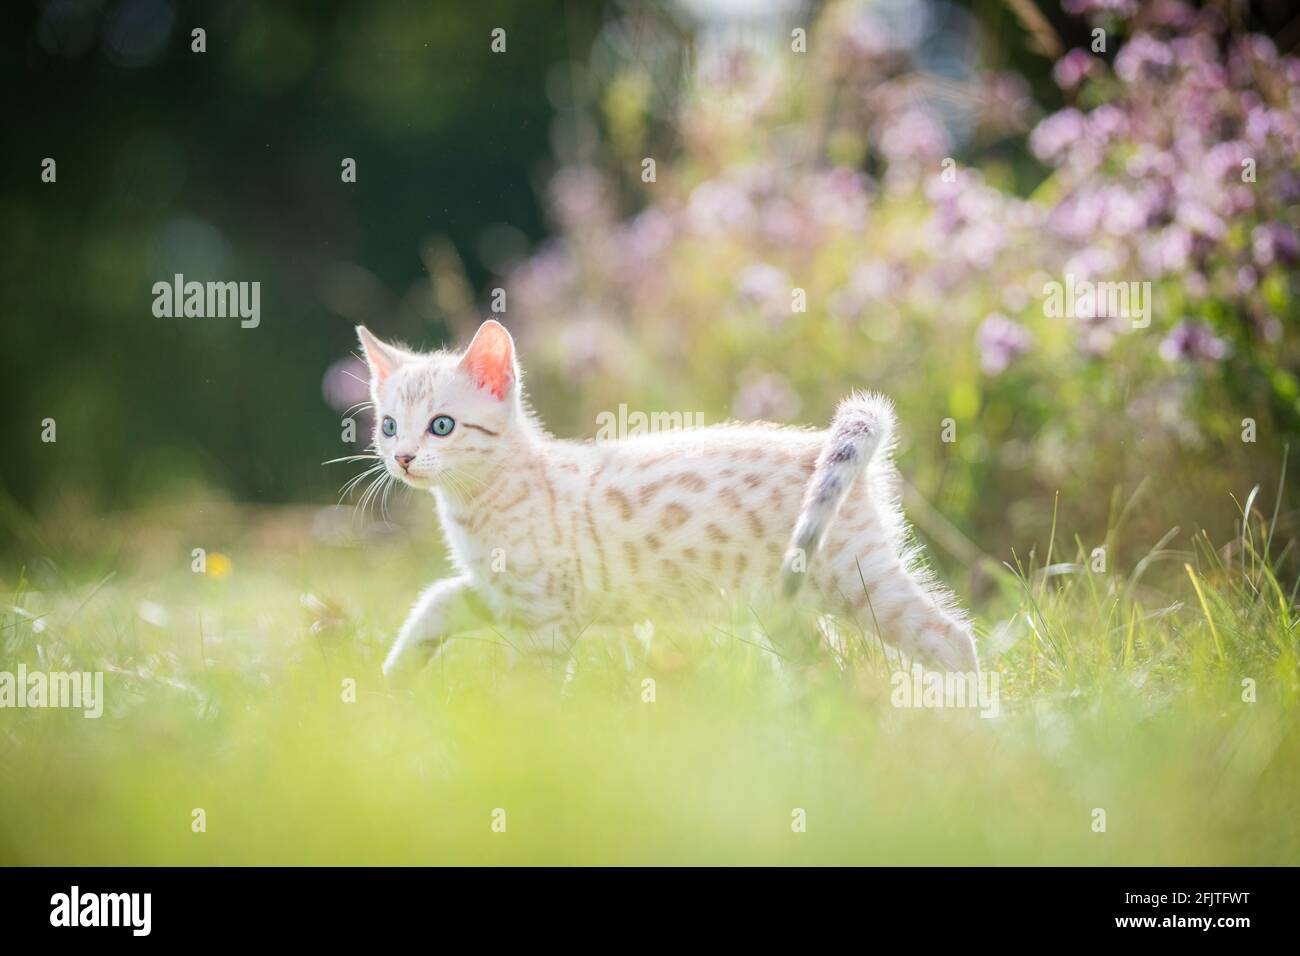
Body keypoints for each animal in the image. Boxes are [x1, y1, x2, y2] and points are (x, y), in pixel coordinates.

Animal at [356, 321, 977, 681]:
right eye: (388, 426)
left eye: (441, 425)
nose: (403, 458)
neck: (477, 504)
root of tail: (819, 444)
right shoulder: (499, 594)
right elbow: (436, 600)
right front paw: (392, 678)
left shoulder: (549, 615)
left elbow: (532, 689)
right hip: (787, 604)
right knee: (829, 670)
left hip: (854, 579)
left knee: (953, 640)